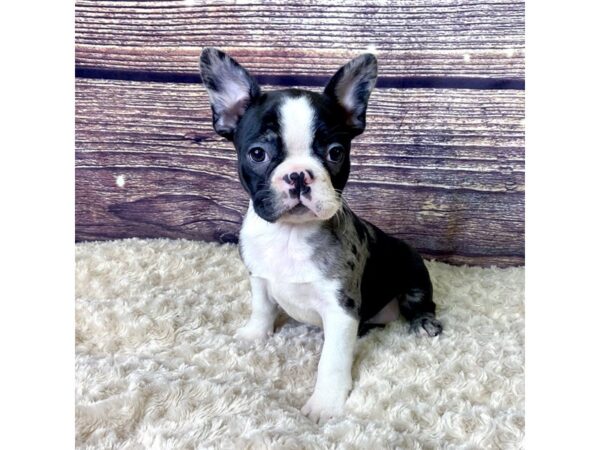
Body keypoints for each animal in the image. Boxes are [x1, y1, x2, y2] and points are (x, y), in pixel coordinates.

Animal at [199, 49, 442, 426]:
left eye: (335, 152)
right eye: (257, 154)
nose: (299, 175)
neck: (289, 234)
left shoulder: (341, 311)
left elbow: (332, 360)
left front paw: (326, 403)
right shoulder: (259, 277)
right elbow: (261, 308)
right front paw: (254, 335)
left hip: (415, 272)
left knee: (421, 303)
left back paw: (424, 324)